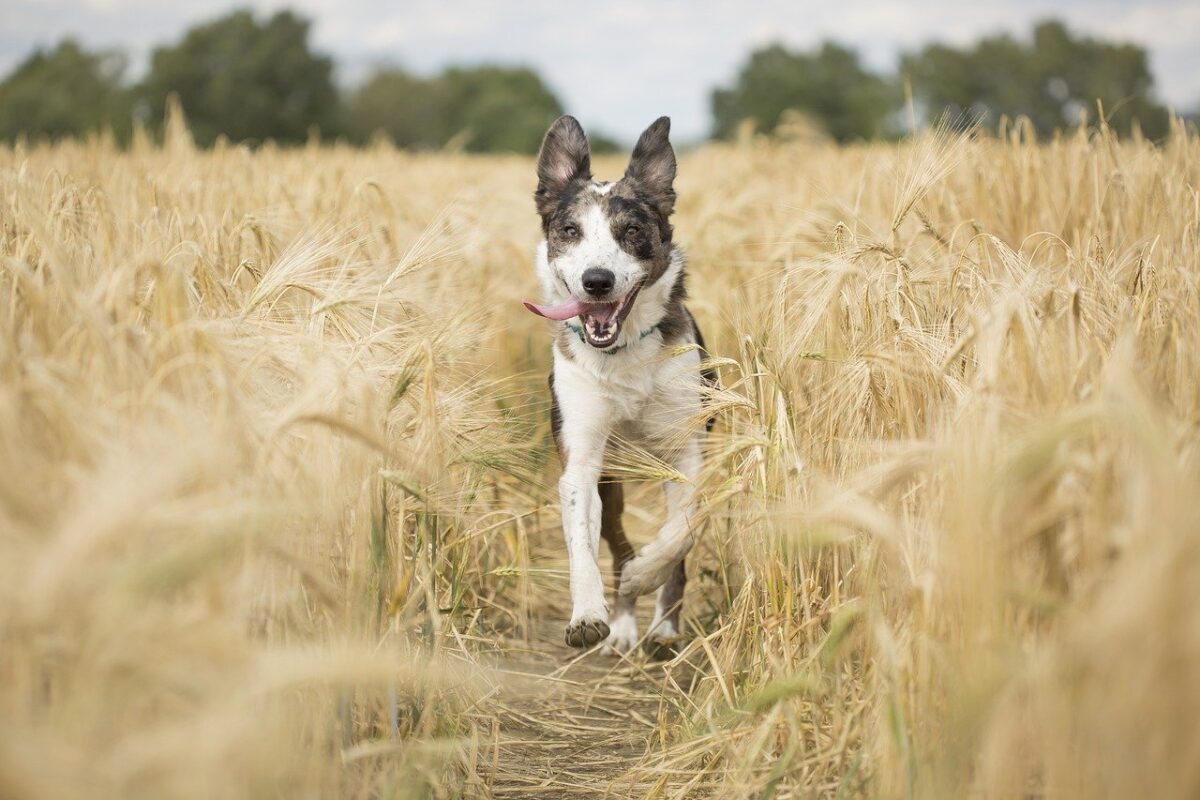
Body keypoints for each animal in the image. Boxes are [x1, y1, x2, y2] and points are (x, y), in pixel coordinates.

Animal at [523, 117, 710, 657]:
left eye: (631, 232)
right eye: (570, 231)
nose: (597, 281)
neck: (622, 354)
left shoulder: (688, 452)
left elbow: (680, 533)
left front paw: (647, 576)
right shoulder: (583, 462)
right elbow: (581, 543)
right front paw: (589, 615)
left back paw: (661, 625)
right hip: (614, 480)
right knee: (617, 542)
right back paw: (624, 626)